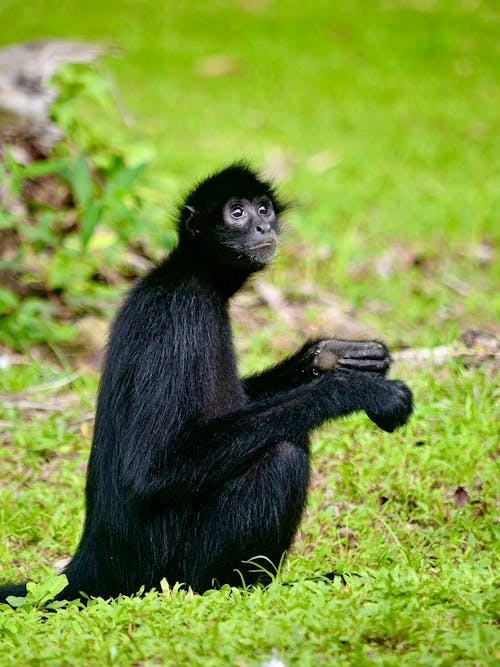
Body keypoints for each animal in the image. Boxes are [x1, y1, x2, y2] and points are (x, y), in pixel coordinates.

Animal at [0, 163, 412, 604]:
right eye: (237, 213)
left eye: (263, 209)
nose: (263, 227)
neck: (190, 272)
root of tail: (91, 566)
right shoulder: (181, 313)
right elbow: (149, 471)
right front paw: (351, 389)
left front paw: (329, 355)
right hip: (169, 572)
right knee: (282, 454)